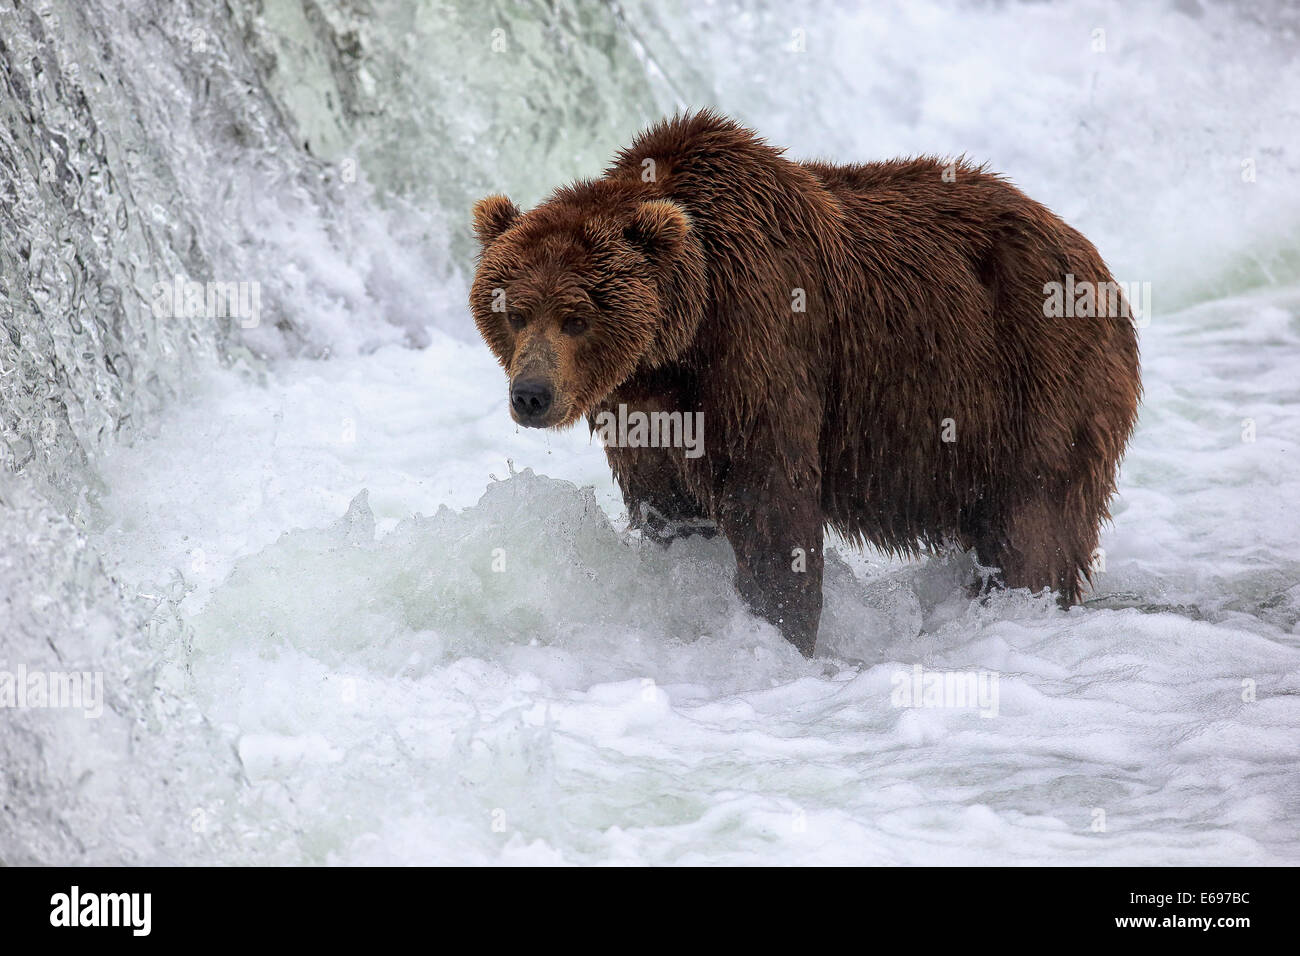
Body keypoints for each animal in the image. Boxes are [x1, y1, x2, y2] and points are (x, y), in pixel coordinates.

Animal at [469, 110, 1141, 656]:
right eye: (513, 310)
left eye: (576, 317)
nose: (531, 395)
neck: (678, 345)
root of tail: (1096, 262)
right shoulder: (644, 413)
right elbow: (668, 505)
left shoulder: (760, 342)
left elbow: (771, 500)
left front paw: (779, 633)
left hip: (1032, 380)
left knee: (1034, 519)